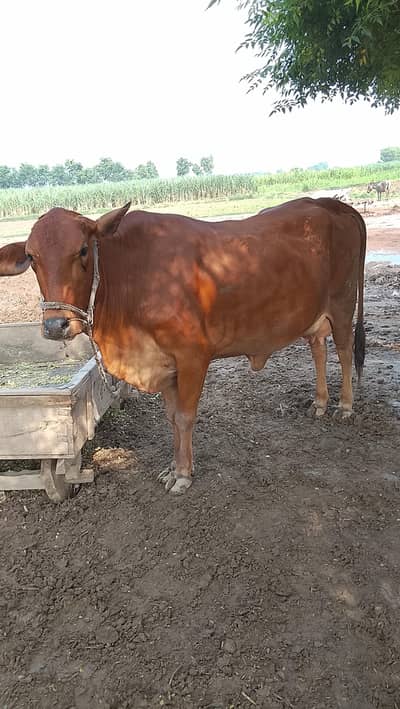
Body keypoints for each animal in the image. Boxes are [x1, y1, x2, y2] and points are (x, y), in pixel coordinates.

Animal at [0, 198, 366, 494]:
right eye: (32, 257)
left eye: (83, 250)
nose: (55, 325)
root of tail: (333, 204)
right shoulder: (165, 363)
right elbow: (172, 418)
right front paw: (173, 468)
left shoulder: (193, 357)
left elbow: (186, 417)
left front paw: (184, 475)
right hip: (314, 315)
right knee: (318, 347)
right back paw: (320, 402)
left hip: (343, 303)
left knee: (345, 350)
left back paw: (345, 406)